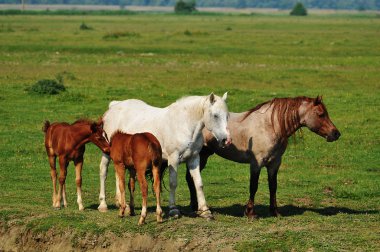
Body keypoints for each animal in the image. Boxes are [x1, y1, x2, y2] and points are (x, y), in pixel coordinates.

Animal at [97, 92, 232, 219]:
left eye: (227, 116)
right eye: (215, 115)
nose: (226, 140)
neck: (184, 125)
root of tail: (114, 106)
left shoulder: (194, 159)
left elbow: (199, 183)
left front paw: (205, 211)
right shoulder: (173, 159)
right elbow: (173, 183)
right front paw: (173, 209)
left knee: (118, 176)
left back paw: (121, 203)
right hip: (107, 152)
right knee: (103, 172)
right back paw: (103, 205)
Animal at [187, 96, 342, 219]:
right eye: (320, 114)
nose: (336, 134)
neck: (270, 126)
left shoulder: (274, 164)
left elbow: (273, 186)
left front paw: (274, 211)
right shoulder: (256, 164)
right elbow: (253, 186)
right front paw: (250, 213)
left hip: (203, 156)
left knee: (190, 178)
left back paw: (195, 207)